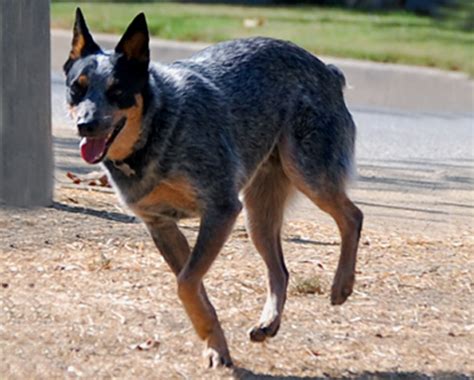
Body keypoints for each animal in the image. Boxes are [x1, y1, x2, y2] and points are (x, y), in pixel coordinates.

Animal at [65, 8, 364, 368]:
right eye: (76, 89)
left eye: (117, 90)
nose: (85, 124)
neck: (157, 130)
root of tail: (328, 71)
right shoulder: (161, 225)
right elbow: (193, 289)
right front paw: (215, 346)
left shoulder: (221, 209)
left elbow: (186, 283)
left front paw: (217, 347)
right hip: (258, 218)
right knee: (280, 271)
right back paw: (268, 323)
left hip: (307, 173)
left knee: (353, 216)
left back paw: (341, 285)